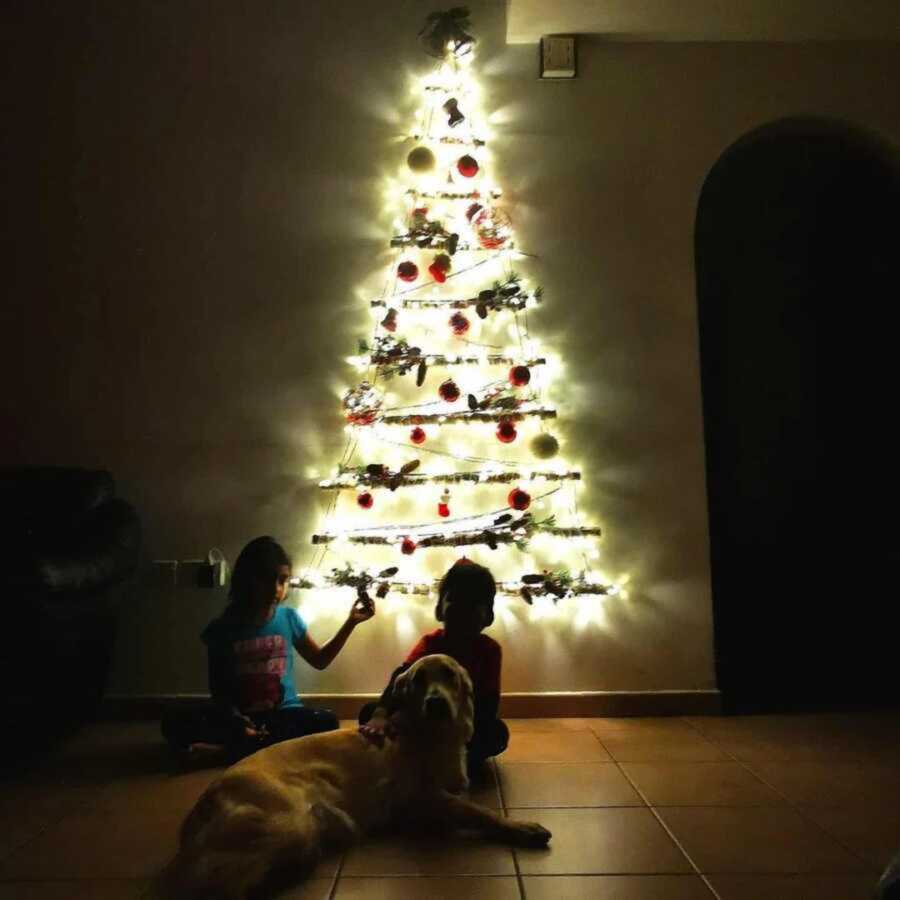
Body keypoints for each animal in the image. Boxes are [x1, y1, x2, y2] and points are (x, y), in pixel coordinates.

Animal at [165, 652, 552, 900]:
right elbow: (479, 811)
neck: (429, 735)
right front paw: (522, 827)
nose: (436, 703)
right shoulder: (420, 799)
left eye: (450, 676)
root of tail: (197, 811)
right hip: (288, 826)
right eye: (418, 681)